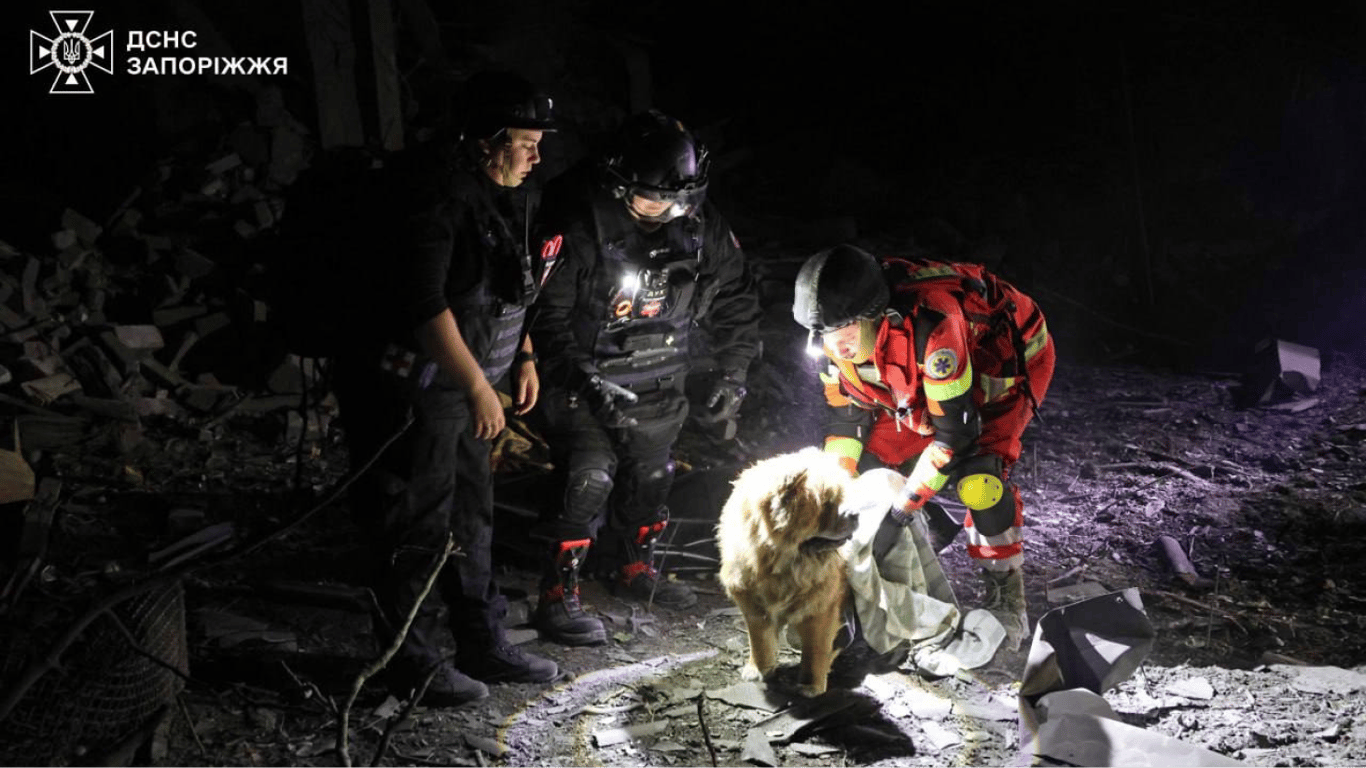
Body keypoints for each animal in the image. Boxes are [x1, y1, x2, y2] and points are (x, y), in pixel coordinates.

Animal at [715, 448, 852, 694]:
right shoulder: (754, 604)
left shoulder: (820, 607)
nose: (856, 515)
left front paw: (811, 685)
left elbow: (816, 648)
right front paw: (759, 670)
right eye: (828, 504)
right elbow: (760, 642)